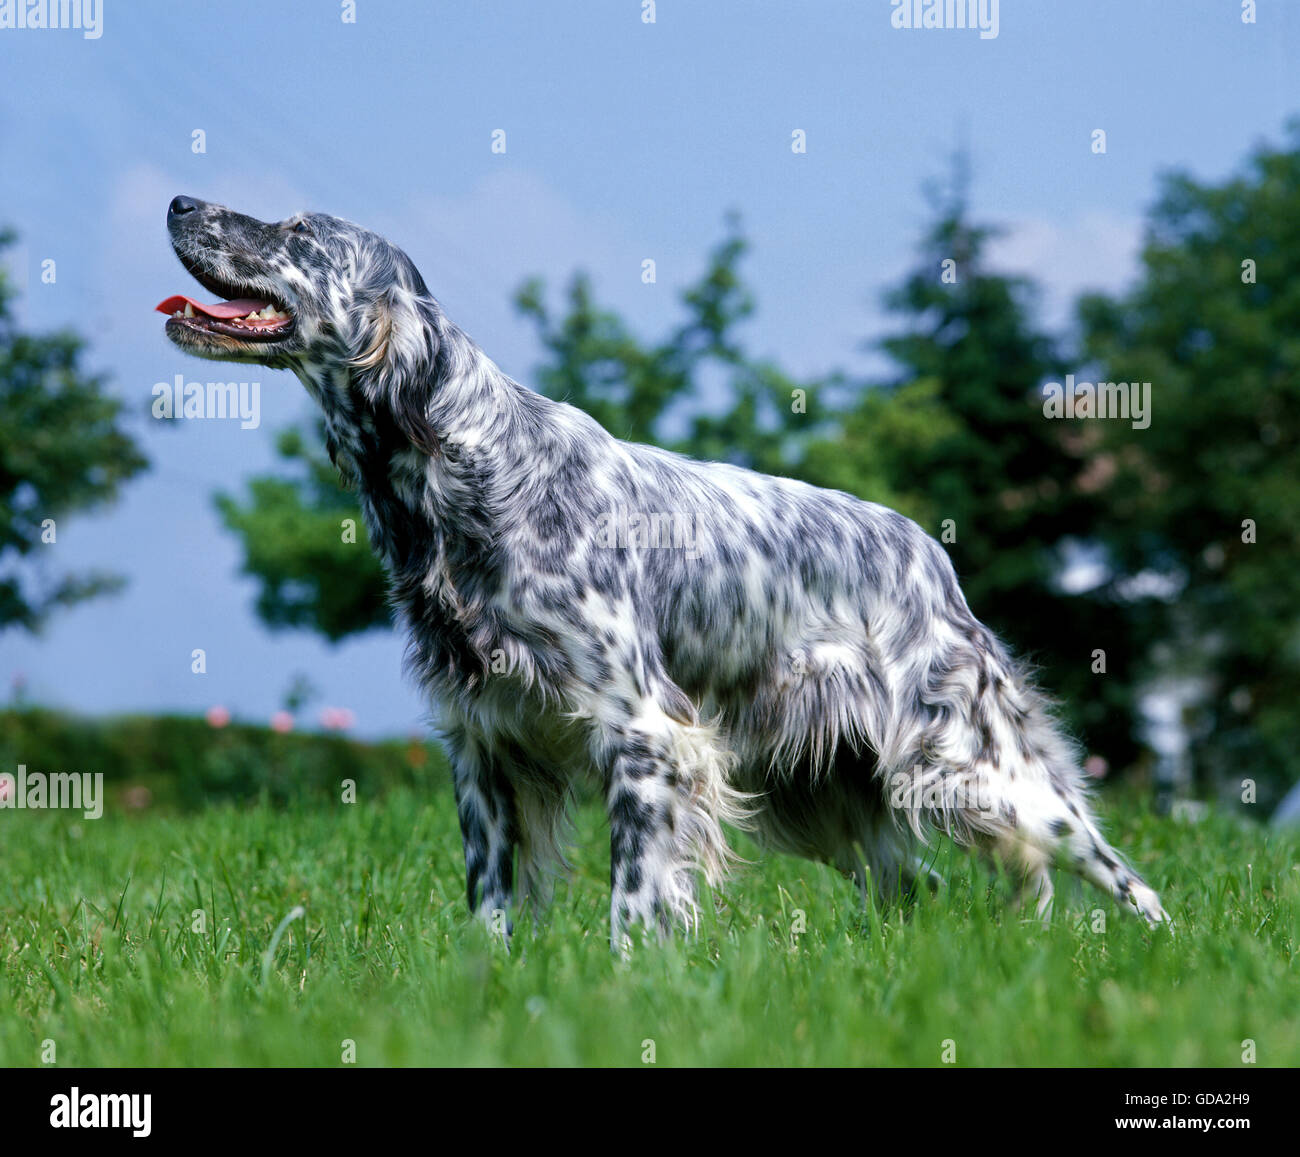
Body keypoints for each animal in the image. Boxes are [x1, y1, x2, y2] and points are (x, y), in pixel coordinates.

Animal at [159, 193, 1170, 941]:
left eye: (297, 232)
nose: (178, 202)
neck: (467, 466)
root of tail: (932, 555)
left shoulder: (644, 730)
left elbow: (636, 898)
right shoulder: (483, 741)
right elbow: (491, 900)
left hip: (970, 766)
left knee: (1111, 866)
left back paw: (1158, 943)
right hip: (826, 795)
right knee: (915, 885)